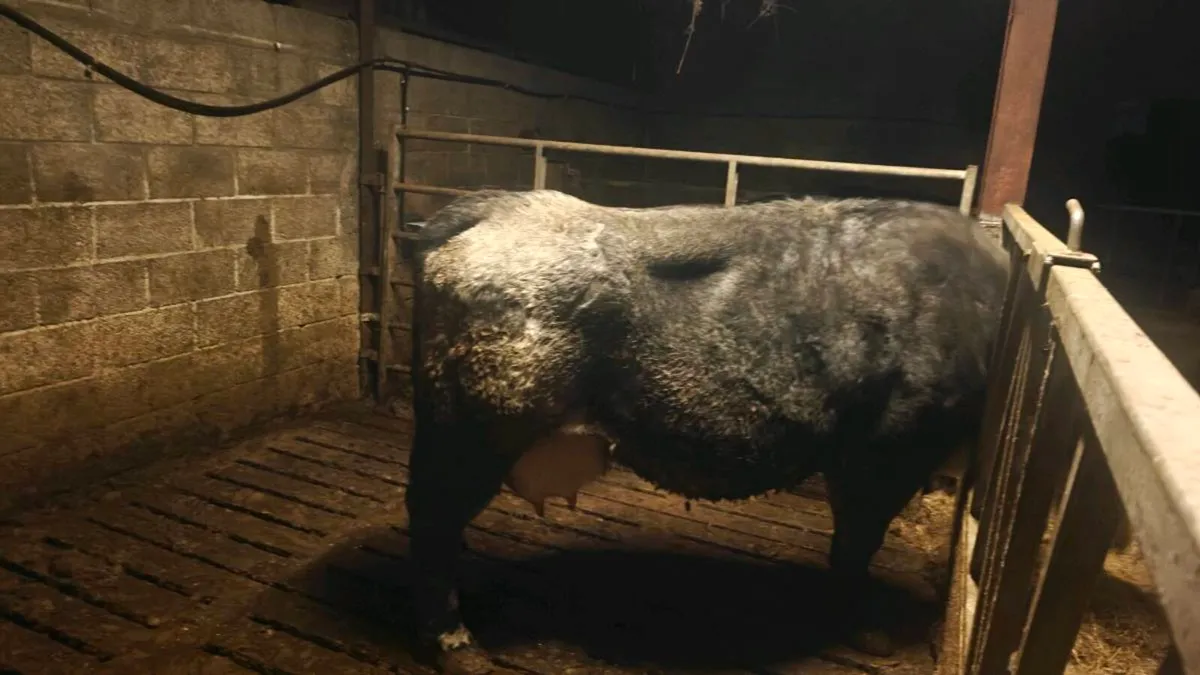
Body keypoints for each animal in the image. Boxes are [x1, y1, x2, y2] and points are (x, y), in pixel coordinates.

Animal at [403, 189, 1010, 674]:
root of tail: (500, 207)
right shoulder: (889, 445)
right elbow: (856, 542)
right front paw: (867, 631)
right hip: (480, 429)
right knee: (433, 520)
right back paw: (458, 647)